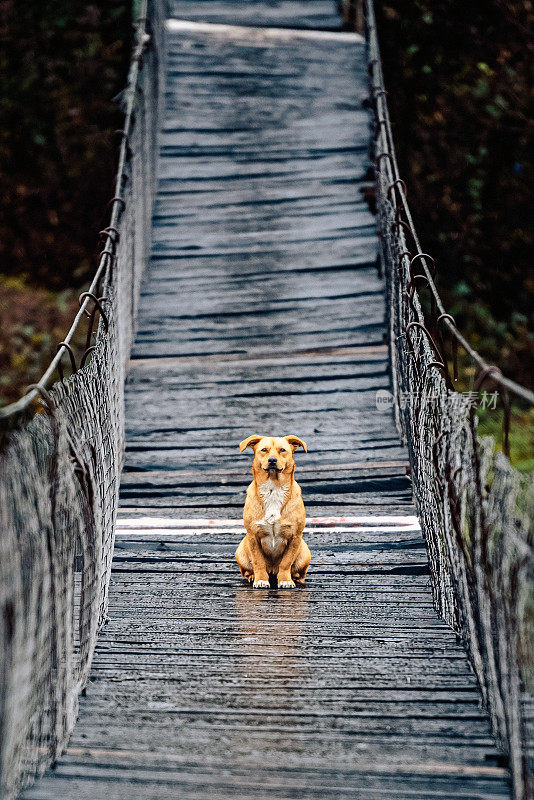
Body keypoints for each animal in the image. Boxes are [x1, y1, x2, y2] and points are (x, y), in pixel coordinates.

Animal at [237, 434, 312, 592]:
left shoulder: (295, 537)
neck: (273, 488)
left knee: (298, 572)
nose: (272, 460)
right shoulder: (253, 536)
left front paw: (285, 580)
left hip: (305, 553)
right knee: (248, 570)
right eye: (264, 450)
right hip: (240, 552)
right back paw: (252, 576)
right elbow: (258, 561)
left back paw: (296, 579)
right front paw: (260, 580)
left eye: (282, 450)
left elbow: (286, 562)